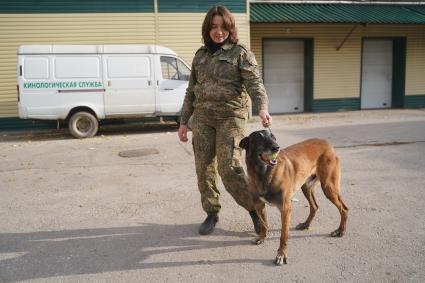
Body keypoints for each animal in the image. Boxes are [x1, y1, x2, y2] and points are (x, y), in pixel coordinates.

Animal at [238, 131, 348, 266]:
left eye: (273, 137)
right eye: (259, 138)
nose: (276, 147)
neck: (263, 174)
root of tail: (326, 142)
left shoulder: (285, 209)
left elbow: (283, 236)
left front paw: (281, 255)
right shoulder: (259, 205)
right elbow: (264, 224)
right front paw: (262, 237)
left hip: (329, 187)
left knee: (344, 208)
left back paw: (340, 231)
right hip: (306, 187)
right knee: (315, 206)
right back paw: (306, 224)